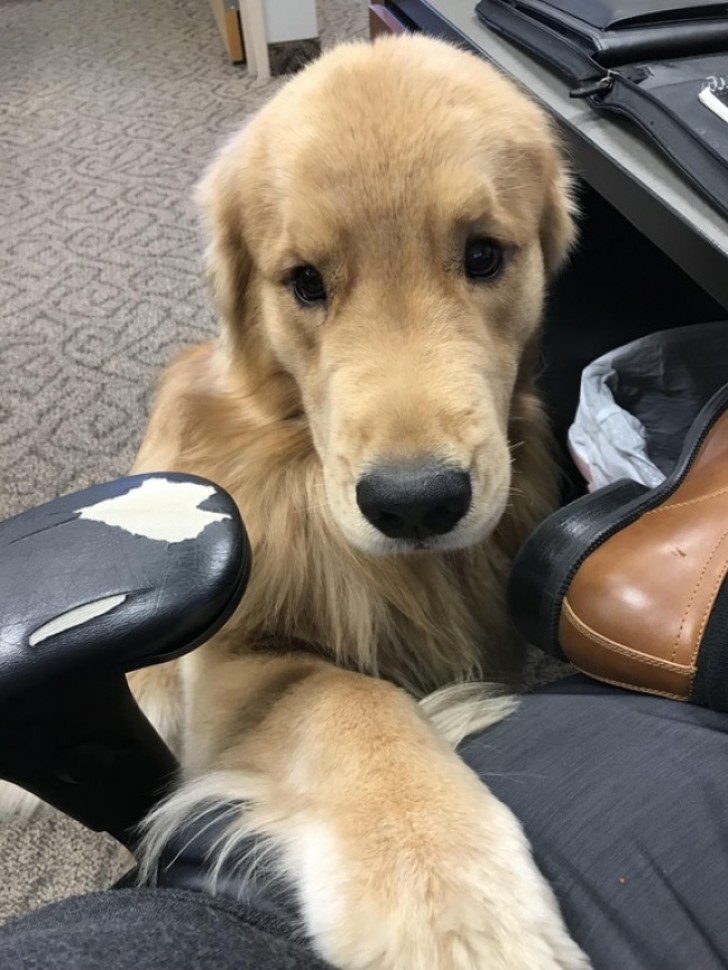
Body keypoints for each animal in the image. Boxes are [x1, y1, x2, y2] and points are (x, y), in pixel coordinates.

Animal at [131, 34, 588, 968]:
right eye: (304, 281)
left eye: (484, 255)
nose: (415, 505)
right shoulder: (231, 675)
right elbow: (349, 701)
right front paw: (446, 896)